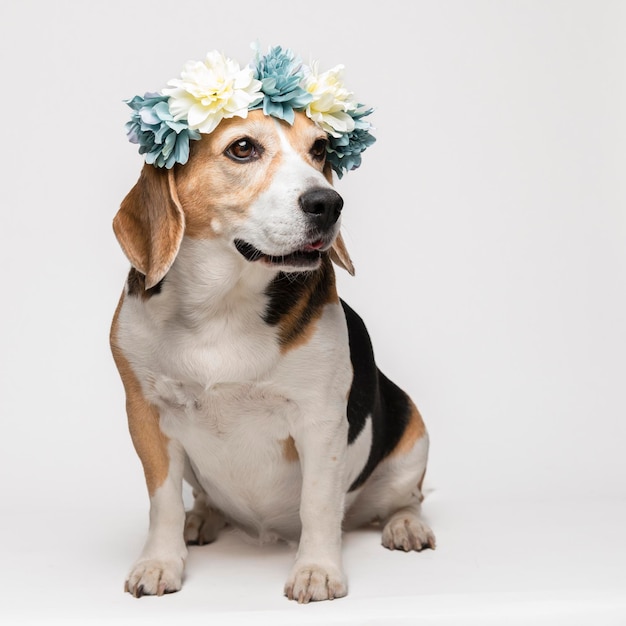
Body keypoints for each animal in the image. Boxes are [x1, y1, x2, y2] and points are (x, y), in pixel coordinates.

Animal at [111, 107, 434, 600]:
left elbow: (318, 503)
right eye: (243, 148)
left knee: (406, 499)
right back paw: (201, 519)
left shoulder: (320, 420)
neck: (221, 308)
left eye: (319, 148)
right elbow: (162, 502)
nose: (329, 204)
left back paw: (405, 526)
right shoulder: (145, 413)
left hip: (411, 438)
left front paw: (317, 570)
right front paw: (159, 562)